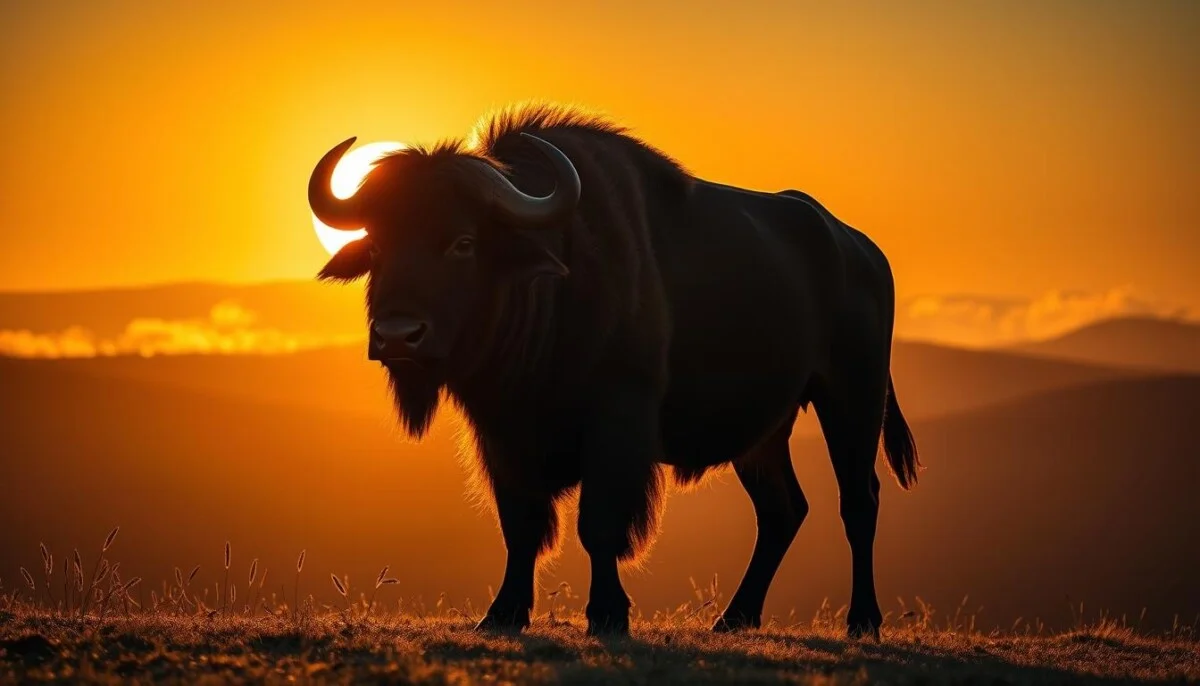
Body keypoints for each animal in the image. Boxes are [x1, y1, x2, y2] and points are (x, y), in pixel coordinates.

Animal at [308, 104, 919, 637]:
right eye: (377, 245)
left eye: (462, 241)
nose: (397, 335)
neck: (551, 290)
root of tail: (861, 251)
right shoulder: (502, 436)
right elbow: (521, 527)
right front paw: (502, 614)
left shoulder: (617, 423)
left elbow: (597, 525)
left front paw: (607, 614)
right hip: (766, 434)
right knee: (782, 511)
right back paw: (734, 618)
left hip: (852, 399)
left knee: (859, 501)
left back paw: (863, 621)